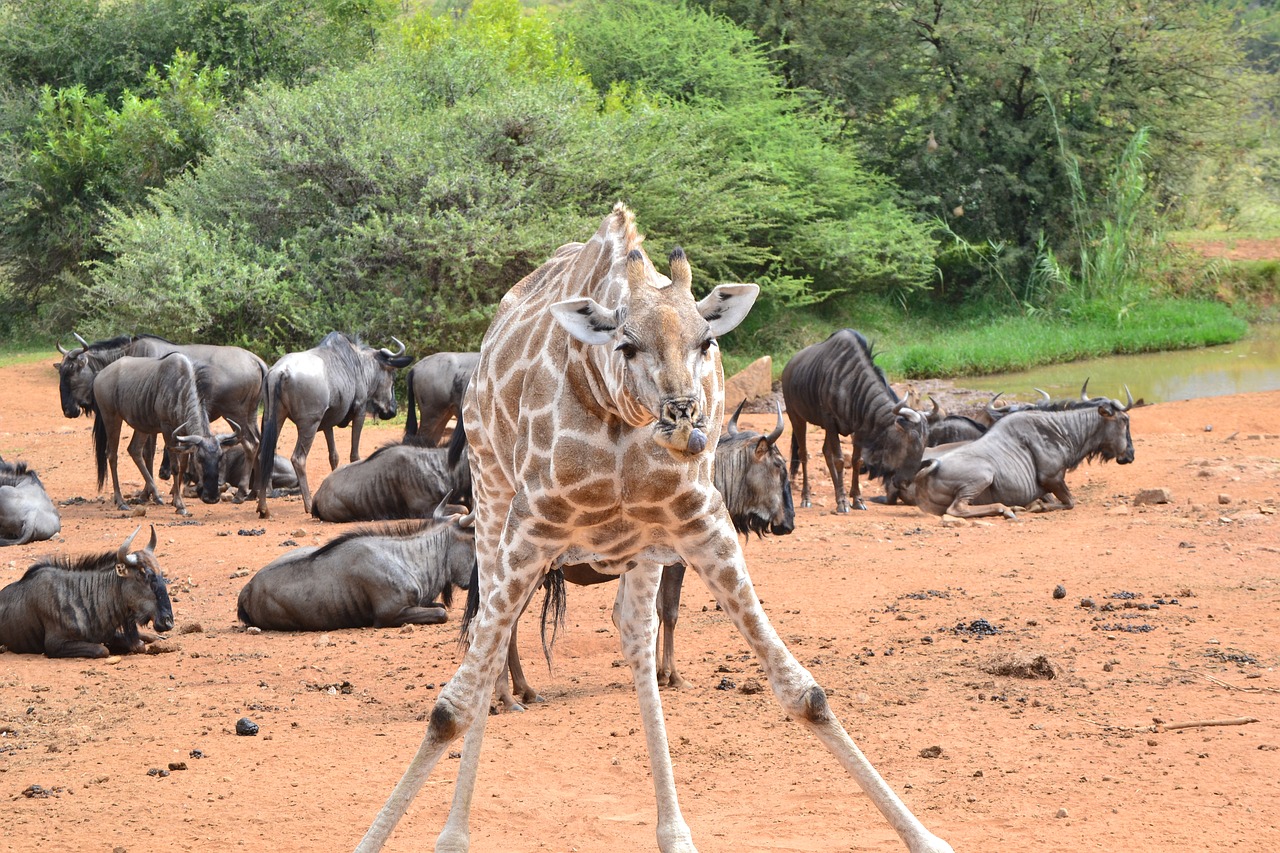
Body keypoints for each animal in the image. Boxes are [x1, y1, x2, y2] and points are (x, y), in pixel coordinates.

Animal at [350, 204, 952, 850]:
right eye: (627, 344)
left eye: (707, 341)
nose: (685, 418)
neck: (615, 411)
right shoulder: (532, 522)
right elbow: (450, 708)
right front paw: (401, 837)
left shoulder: (701, 522)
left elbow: (804, 691)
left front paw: (926, 838)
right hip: (492, 500)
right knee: (494, 638)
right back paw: (461, 822)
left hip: (641, 544)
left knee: (632, 630)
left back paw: (674, 831)